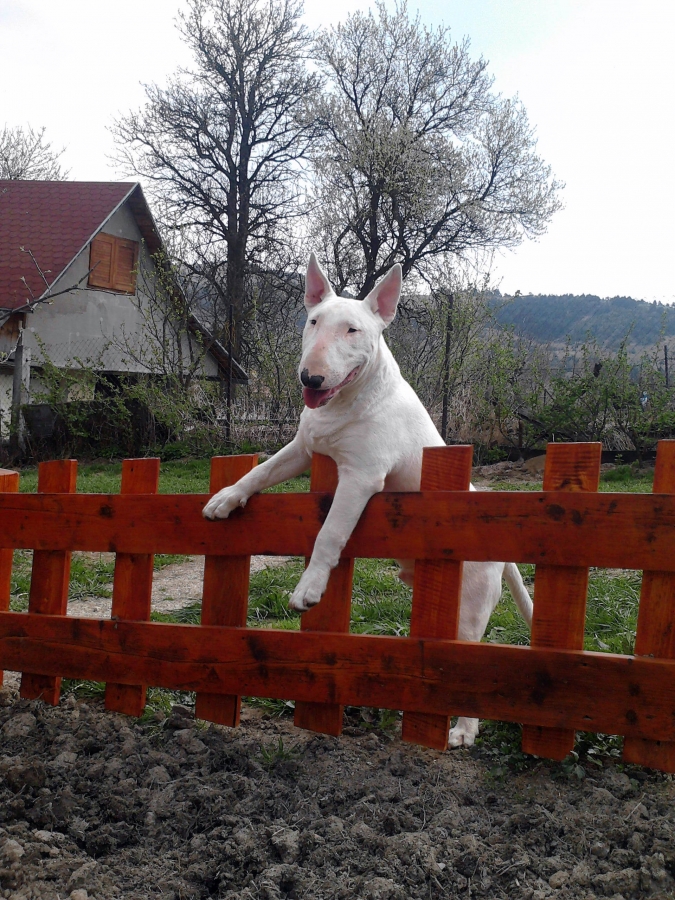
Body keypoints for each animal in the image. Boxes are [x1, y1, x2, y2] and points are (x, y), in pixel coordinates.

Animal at [203, 253, 533, 747]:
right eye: (313, 321)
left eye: (353, 330)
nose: (310, 377)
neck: (347, 402)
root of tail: (504, 554)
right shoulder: (303, 448)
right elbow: (259, 470)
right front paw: (226, 498)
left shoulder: (360, 477)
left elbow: (329, 534)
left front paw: (308, 589)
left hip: (471, 605)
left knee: (470, 657)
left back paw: (462, 730)